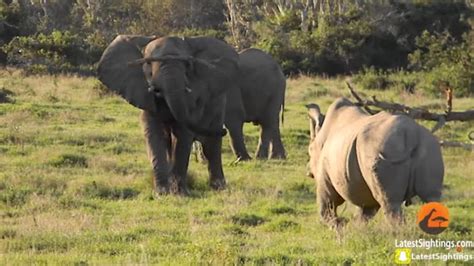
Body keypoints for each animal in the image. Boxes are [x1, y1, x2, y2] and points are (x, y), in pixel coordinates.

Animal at [97, 34, 239, 193]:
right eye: (148, 65)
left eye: (187, 65)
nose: (224, 130)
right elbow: (154, 133)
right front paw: (162, 192)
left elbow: (183, 135)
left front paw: (179, 193)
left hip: (218, 104)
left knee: (211, 145)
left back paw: (219, 188)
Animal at [308, 97, 444, 227]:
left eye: (309, 151)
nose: (309, 172)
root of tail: (410, 134)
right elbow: (364, 214)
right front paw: (356, 230)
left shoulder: (325, 177)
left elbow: (327, 206)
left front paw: (340, 227)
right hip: (430, 148)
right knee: (432, 197)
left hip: (384, 149)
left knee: (390, 203)